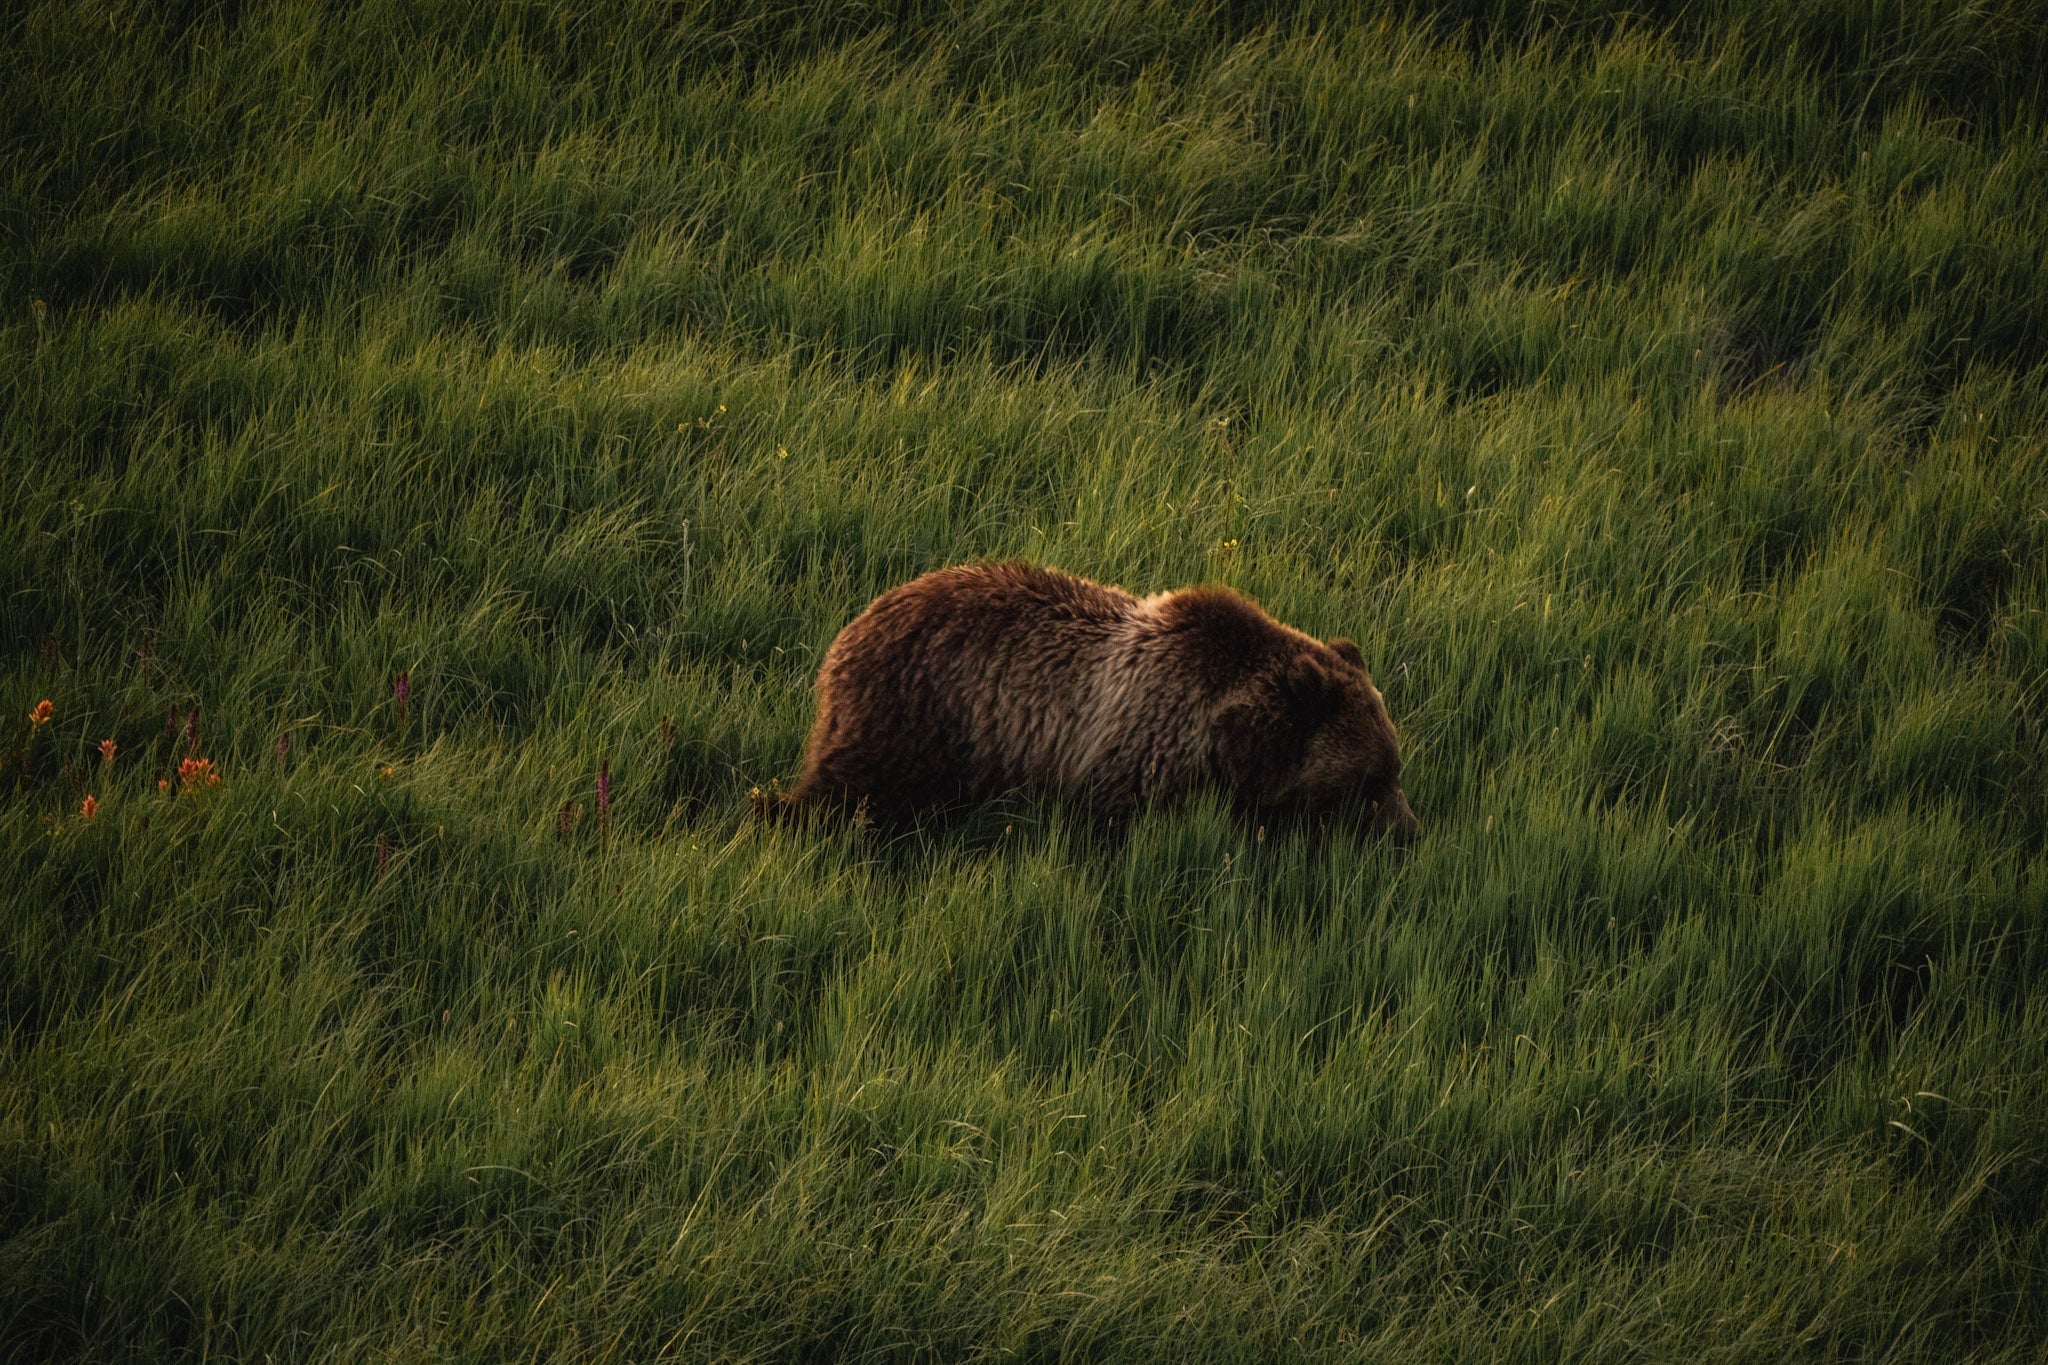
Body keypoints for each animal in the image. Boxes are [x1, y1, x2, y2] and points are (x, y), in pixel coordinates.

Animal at [772, 563, 1419, 839]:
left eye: (1393, 767)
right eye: (1367, 781)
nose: (1410, 831)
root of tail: (848, 633)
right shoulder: (1137, 752)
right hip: (917, 713)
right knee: (848, 793)